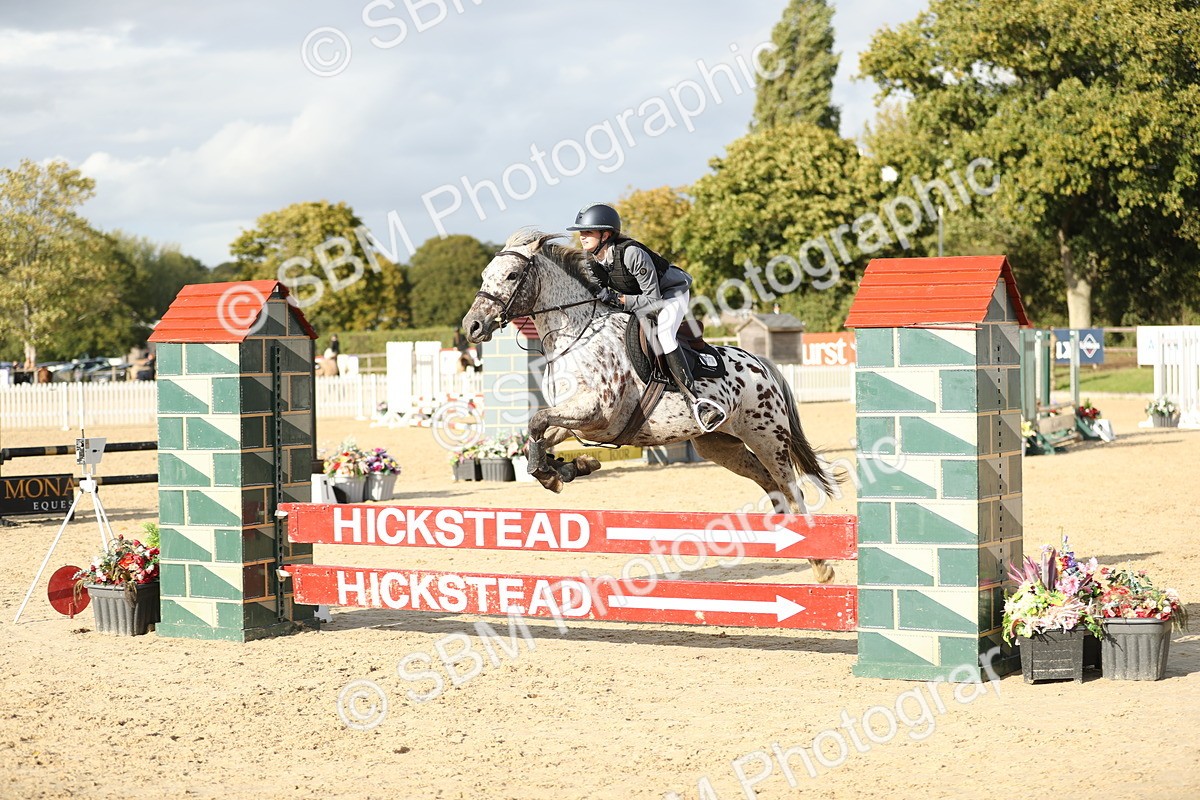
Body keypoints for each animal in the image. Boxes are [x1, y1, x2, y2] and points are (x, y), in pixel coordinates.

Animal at [462, 230, 838, 583]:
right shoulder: (580, 419)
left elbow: (538, 422)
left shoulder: (595, 412)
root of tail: (762, 363)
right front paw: (566, 469)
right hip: (720, 446)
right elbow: (539, 432)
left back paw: (821, 565)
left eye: (512, 275)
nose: (472, 326)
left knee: (792, 490)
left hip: (768, 437)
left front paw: (559, 472)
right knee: (771, 486)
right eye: (484, 274)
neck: (577, 335)